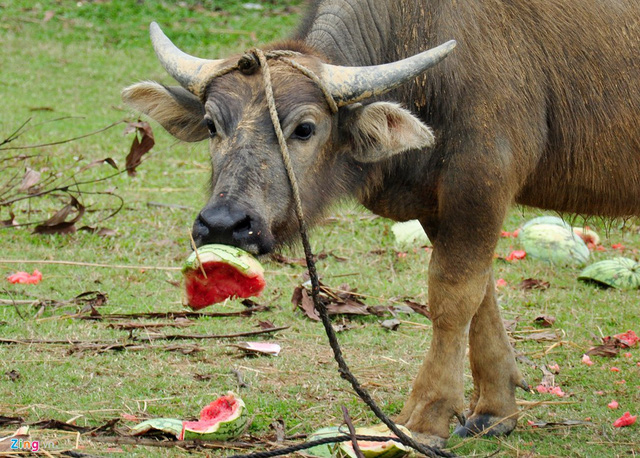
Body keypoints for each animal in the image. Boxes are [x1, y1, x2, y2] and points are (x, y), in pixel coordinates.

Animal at [121, 0, 640, 446]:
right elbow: (482, 296)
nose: (225, 224)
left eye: (305, 128)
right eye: (212, 125)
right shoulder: (440, 203)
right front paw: (494, 412)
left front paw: (426, 418)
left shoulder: (482, 181)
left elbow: (452, 296)